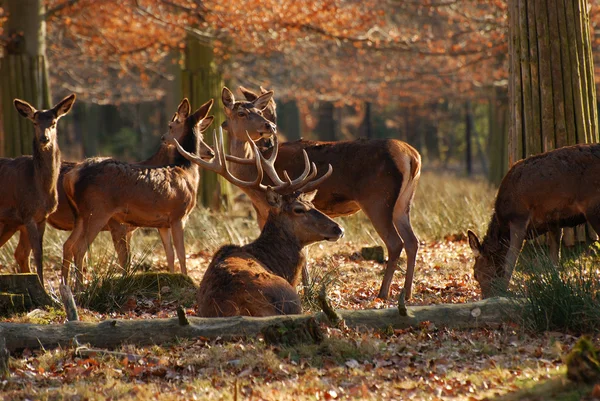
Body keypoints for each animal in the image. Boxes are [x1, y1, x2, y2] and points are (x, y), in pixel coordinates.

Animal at [0, 93, 77, 284]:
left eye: (54, 122)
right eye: (35, 122)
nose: (44, 138)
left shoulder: (42, 218)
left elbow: (39, 254)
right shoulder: (27, 213)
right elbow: (37, 254)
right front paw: (43, 287)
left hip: (9, 223)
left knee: (18, 253)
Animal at [12, 99, 213, 276]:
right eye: (170, 126)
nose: (210, 152)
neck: (186, 170)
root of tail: (70, 177)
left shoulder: (161, 223)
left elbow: (169, 256)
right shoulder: (178, 215)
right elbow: (180, 255)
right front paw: (186, 279)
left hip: (81, 216)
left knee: (66, 245)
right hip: (96, 211)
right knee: (77, 248)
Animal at [223, 87, 420, 300]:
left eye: (259, 111)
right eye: (241, 113)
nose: (270, 126)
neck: (252, 172)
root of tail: (412, 156)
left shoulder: (268, 209)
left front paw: (305, 290)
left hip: (377, 199)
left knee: (395, 242)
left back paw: (383, 293)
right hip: (403, 203)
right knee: (412, 241)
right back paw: (407, 293)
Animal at [466, 143, 600, 296]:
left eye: (475, 273)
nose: (486, 297)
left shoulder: (518, 217)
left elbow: (510, 259)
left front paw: (504, 291)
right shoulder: (554, 221)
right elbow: (555, 259)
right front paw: (556, 286)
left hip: (593, 206)